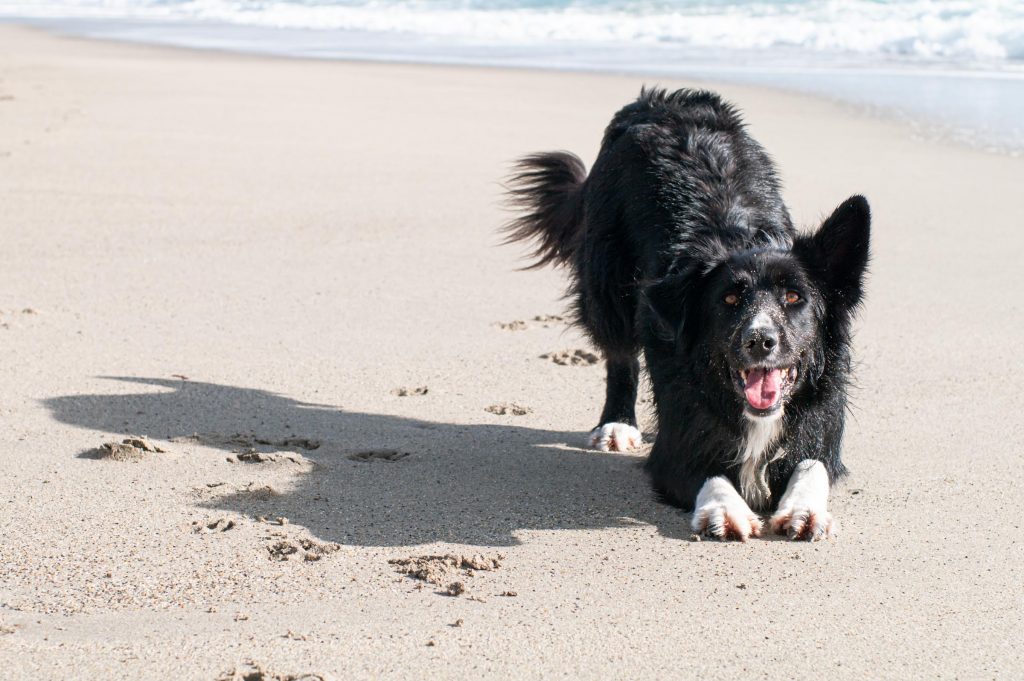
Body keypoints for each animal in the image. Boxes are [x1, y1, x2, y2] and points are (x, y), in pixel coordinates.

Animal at [503, 86, 872, 540]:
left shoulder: (821, 422)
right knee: (619, 354)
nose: (759, 341)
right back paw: (616, 425)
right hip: (607, 285)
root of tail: (657, 102)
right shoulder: (677, 439)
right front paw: (724, 509)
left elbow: (813, 465)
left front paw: (805, 509)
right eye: (728, 300)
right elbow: (706, 470)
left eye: (793, 297)